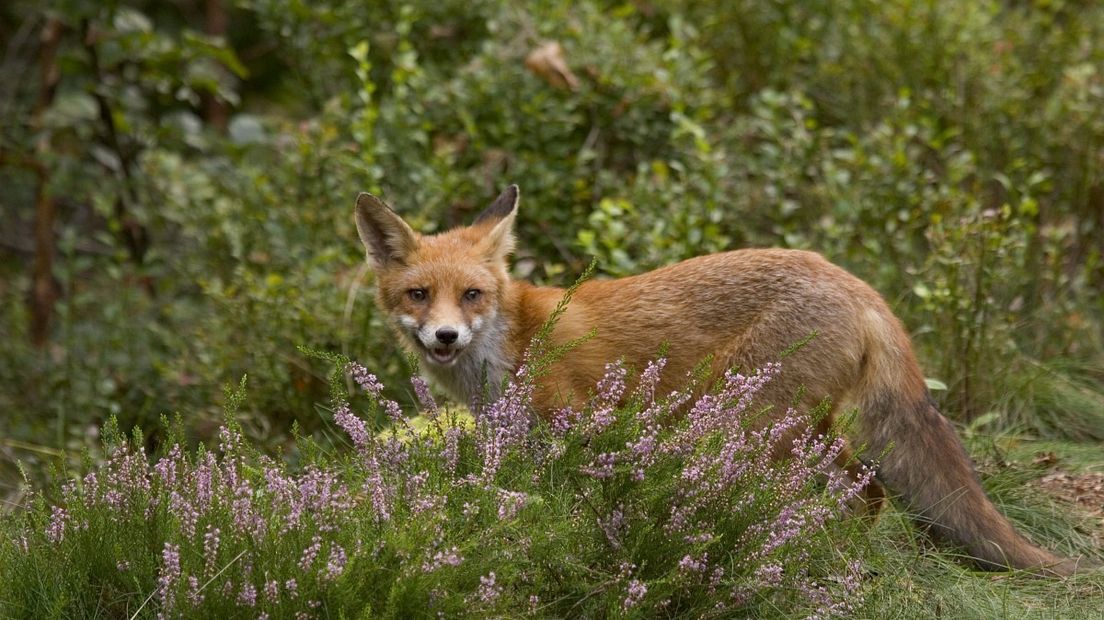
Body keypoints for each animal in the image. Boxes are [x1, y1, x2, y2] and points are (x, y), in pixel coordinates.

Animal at [353, 182, 1095, 573]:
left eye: (472, 295)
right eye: (419, 295)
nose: (445, 336)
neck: (513, 340)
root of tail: (859, 285)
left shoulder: (581, 424)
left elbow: (580, 513)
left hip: (758, 420)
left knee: (863, 492)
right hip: (797, 424)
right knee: (867, 490)